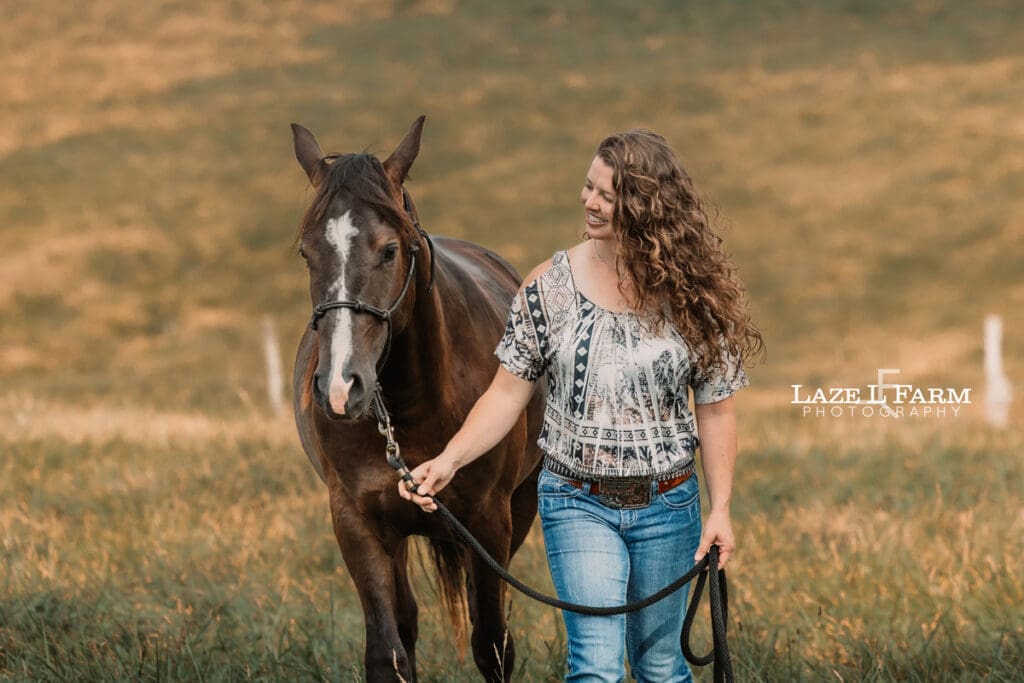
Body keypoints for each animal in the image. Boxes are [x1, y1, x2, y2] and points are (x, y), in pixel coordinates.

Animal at [289, 116, 545, 682]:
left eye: (389, 249)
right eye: (307, 253)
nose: (339, 387)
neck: (415, 408)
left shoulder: (490, 521)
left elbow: (493, 644)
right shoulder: (356, 522)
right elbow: (387, 652)